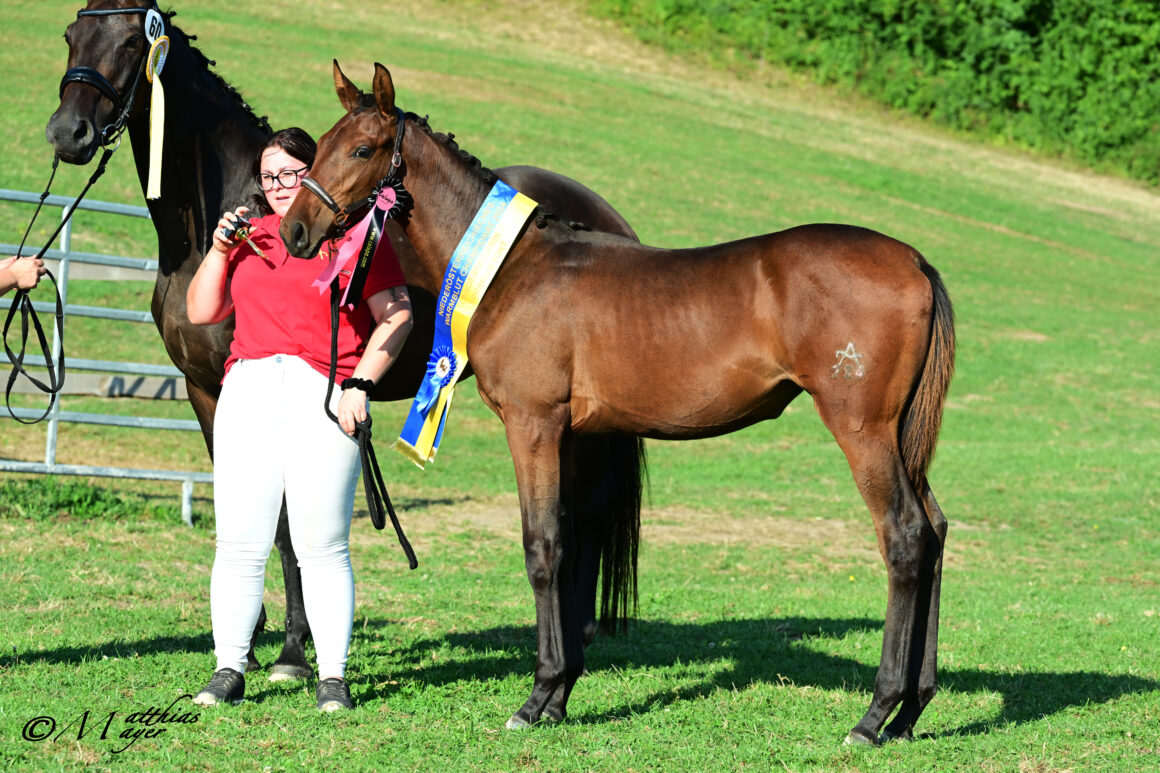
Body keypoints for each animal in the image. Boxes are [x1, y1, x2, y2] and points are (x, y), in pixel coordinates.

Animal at [42, 3, 644, 682]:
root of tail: (607, 218)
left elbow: (285, 523)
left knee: (589, 508)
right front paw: (250, 640)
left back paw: (580, 637)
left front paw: (293, 651)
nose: (68, 133)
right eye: (70, 35)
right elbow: (247, 508)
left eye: (127, 41)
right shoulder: (206, 390)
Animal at [285, 64, 955, 742]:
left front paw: (537, 697)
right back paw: (911, 710)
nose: (296, 231)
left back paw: (875, 714)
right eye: (320, 144)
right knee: (934, 531)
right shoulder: (570, 435)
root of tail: (915, 261)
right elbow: (569, 542)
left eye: (361, 150)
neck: (512, 269)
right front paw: (559, 697)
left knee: (904, 537)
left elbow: (542, 547)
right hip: (900, 435)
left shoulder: (532, 426)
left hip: (863, 430)